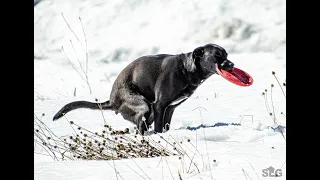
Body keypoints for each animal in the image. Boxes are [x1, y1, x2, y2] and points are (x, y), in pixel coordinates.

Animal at [52, 43, 232, 135]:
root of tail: (112, 100)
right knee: (140, 125)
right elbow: (159, 128)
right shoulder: (159, 106)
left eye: (226, 54)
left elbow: (165, 125)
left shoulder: (170, 108)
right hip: (144, 106)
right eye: (217, 55)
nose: (231, 64)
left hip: (148, 112)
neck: (186, 69)